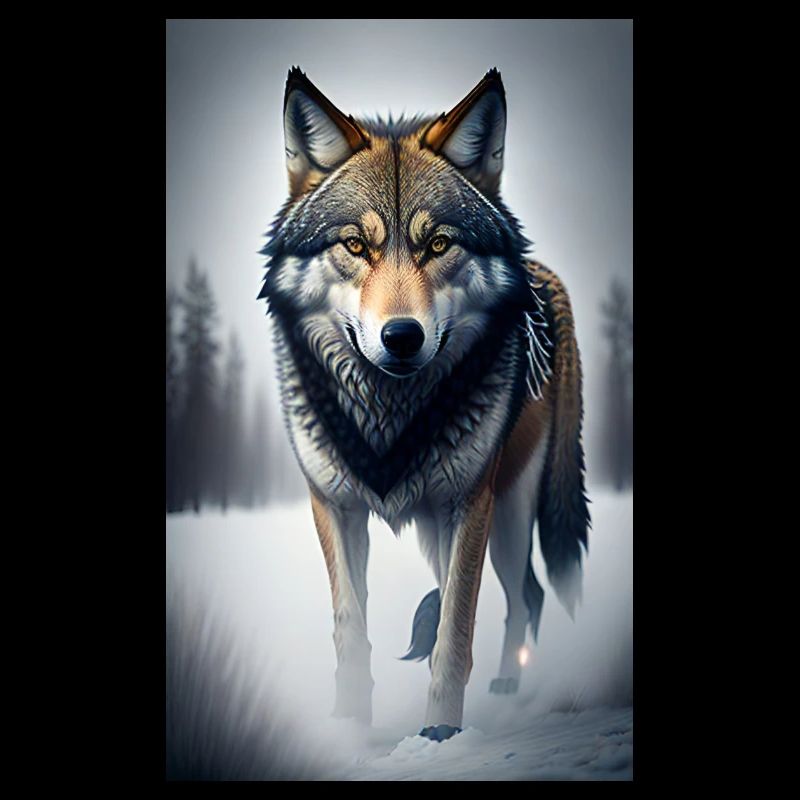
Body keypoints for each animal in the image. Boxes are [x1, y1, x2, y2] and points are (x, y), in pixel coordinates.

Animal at [258, 67, 590, 741]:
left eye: (437, 244)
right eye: (355, 245)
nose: (402, 337)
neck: (390, 414)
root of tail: (547, 276)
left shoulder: (469, 502)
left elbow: (455, 633)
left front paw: (440, 735)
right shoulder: (334, 505)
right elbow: (351, 629)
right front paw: (350, 730)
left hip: (504, 512)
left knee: (527, 594)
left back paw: (509, 687)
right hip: (448, 528)